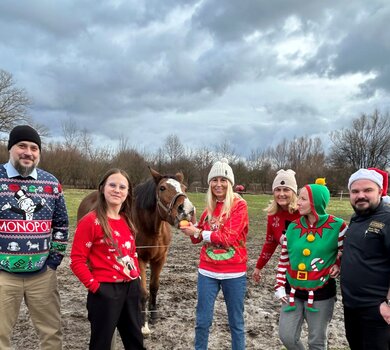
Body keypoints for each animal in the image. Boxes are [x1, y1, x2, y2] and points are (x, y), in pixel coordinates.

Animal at [75, 168, 194, 334]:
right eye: (162, 188)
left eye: (184, 188)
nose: (187, 211)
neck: (151, 229)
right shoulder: (140, 259)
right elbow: (143, 292)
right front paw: (143, 324)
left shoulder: (160, 259)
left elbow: (154, 287)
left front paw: (154, 316)